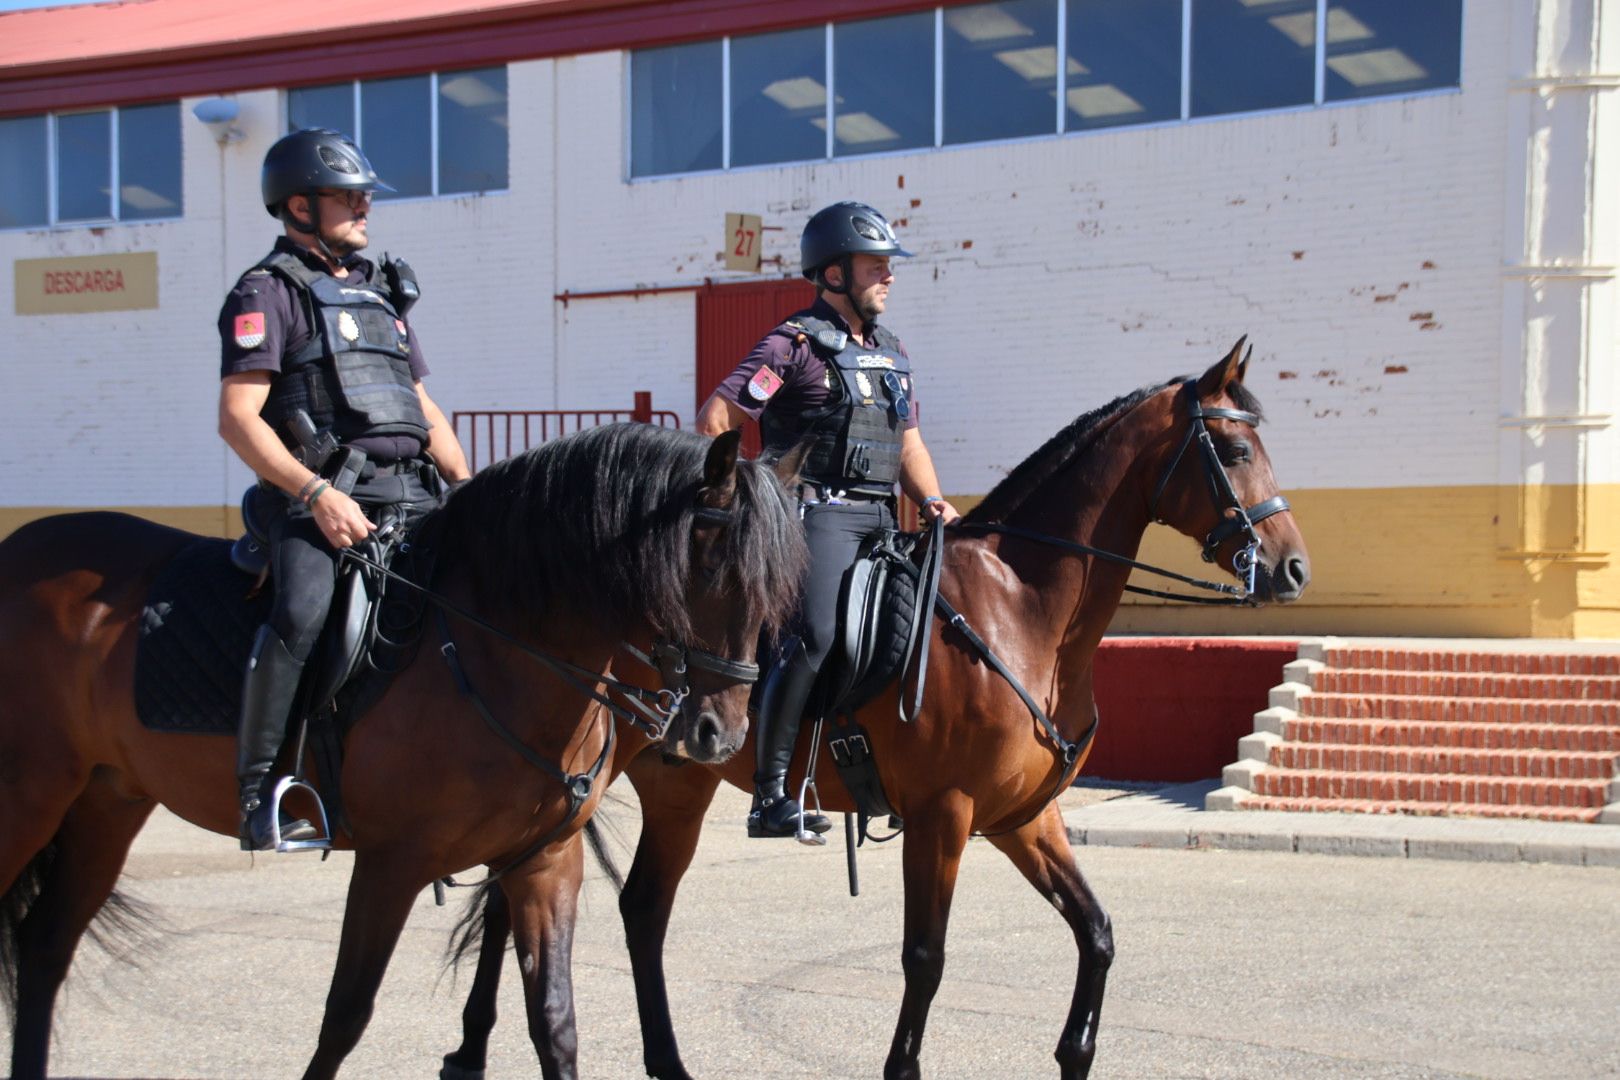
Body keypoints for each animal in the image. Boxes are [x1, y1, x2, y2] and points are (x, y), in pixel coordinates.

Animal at [0, 420, 810, 1080]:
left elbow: (555, 1024)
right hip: (31, 799)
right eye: (710, 567)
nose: (719, 735)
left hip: (107, 801)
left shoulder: (545, 862)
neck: (494, 649)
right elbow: (344, 1017)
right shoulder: (391, 865)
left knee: (44, 948)